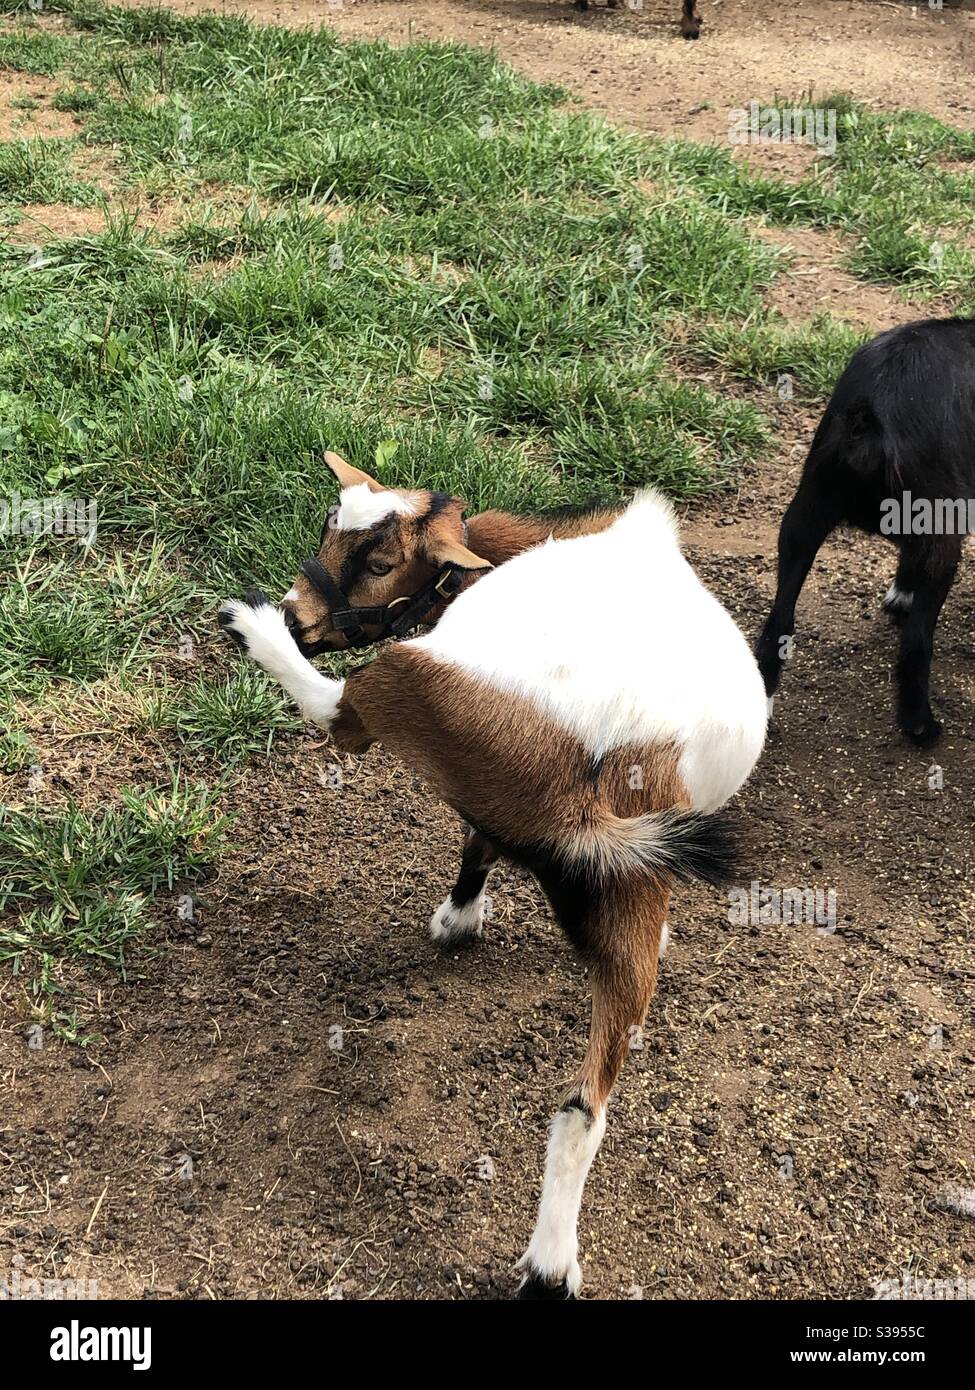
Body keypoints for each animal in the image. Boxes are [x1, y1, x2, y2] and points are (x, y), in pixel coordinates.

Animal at [216, 450, 762, 1295]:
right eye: (326, 528)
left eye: (378, 563)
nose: (298, 614)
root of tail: (600, 777)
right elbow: (482, 839)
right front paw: (463, 915)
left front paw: (456, 918)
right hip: (627, 897)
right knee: (582, 1106)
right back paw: (550, 1264)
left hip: (411, 684)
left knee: (341, 712)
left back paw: (251, 629)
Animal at [762, 318, 973, 750]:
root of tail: (874, 417)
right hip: (942, 524)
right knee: (915, 645)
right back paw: (921, 726)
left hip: (805, 514)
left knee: (778, 622)